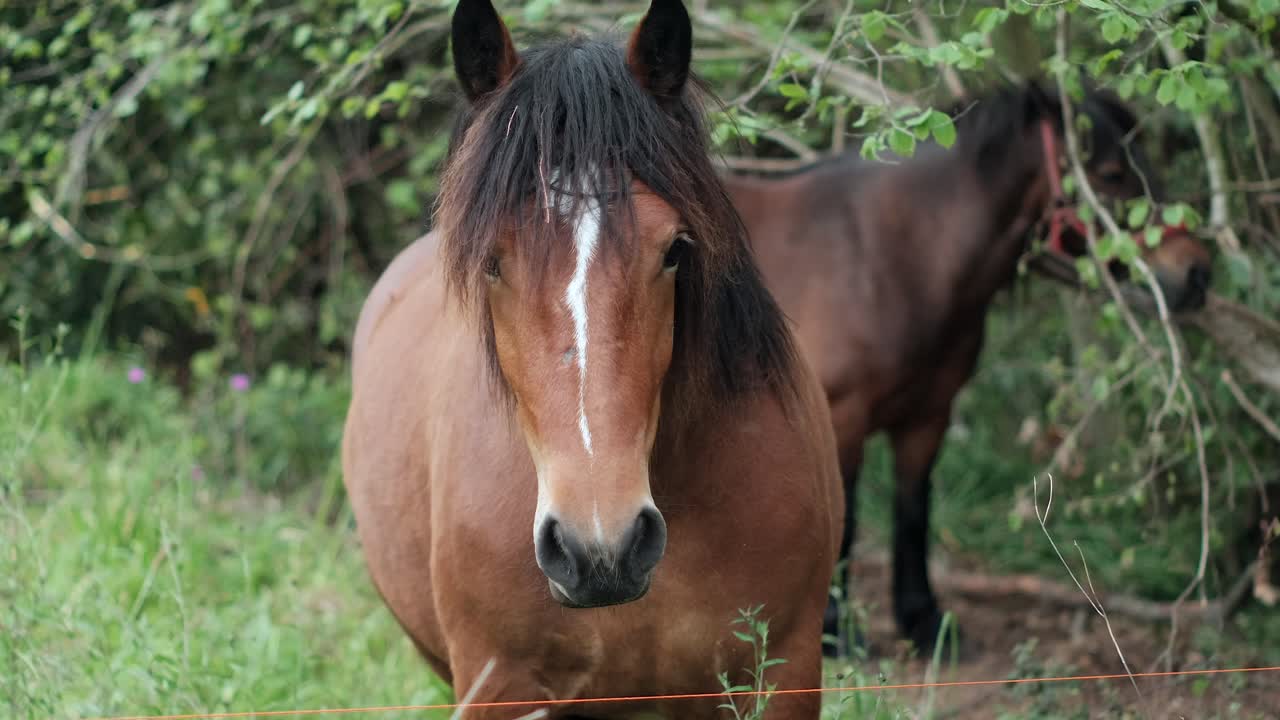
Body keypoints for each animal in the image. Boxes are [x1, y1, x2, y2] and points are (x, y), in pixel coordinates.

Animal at [723, 81, 1213, 657]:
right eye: (1113, 174)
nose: (1196, 271)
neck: (886, 255)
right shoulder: (841, 418)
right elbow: (843, 522)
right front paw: (836, 634)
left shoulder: (928, 416)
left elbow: (913, 512)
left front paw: (925, 623)